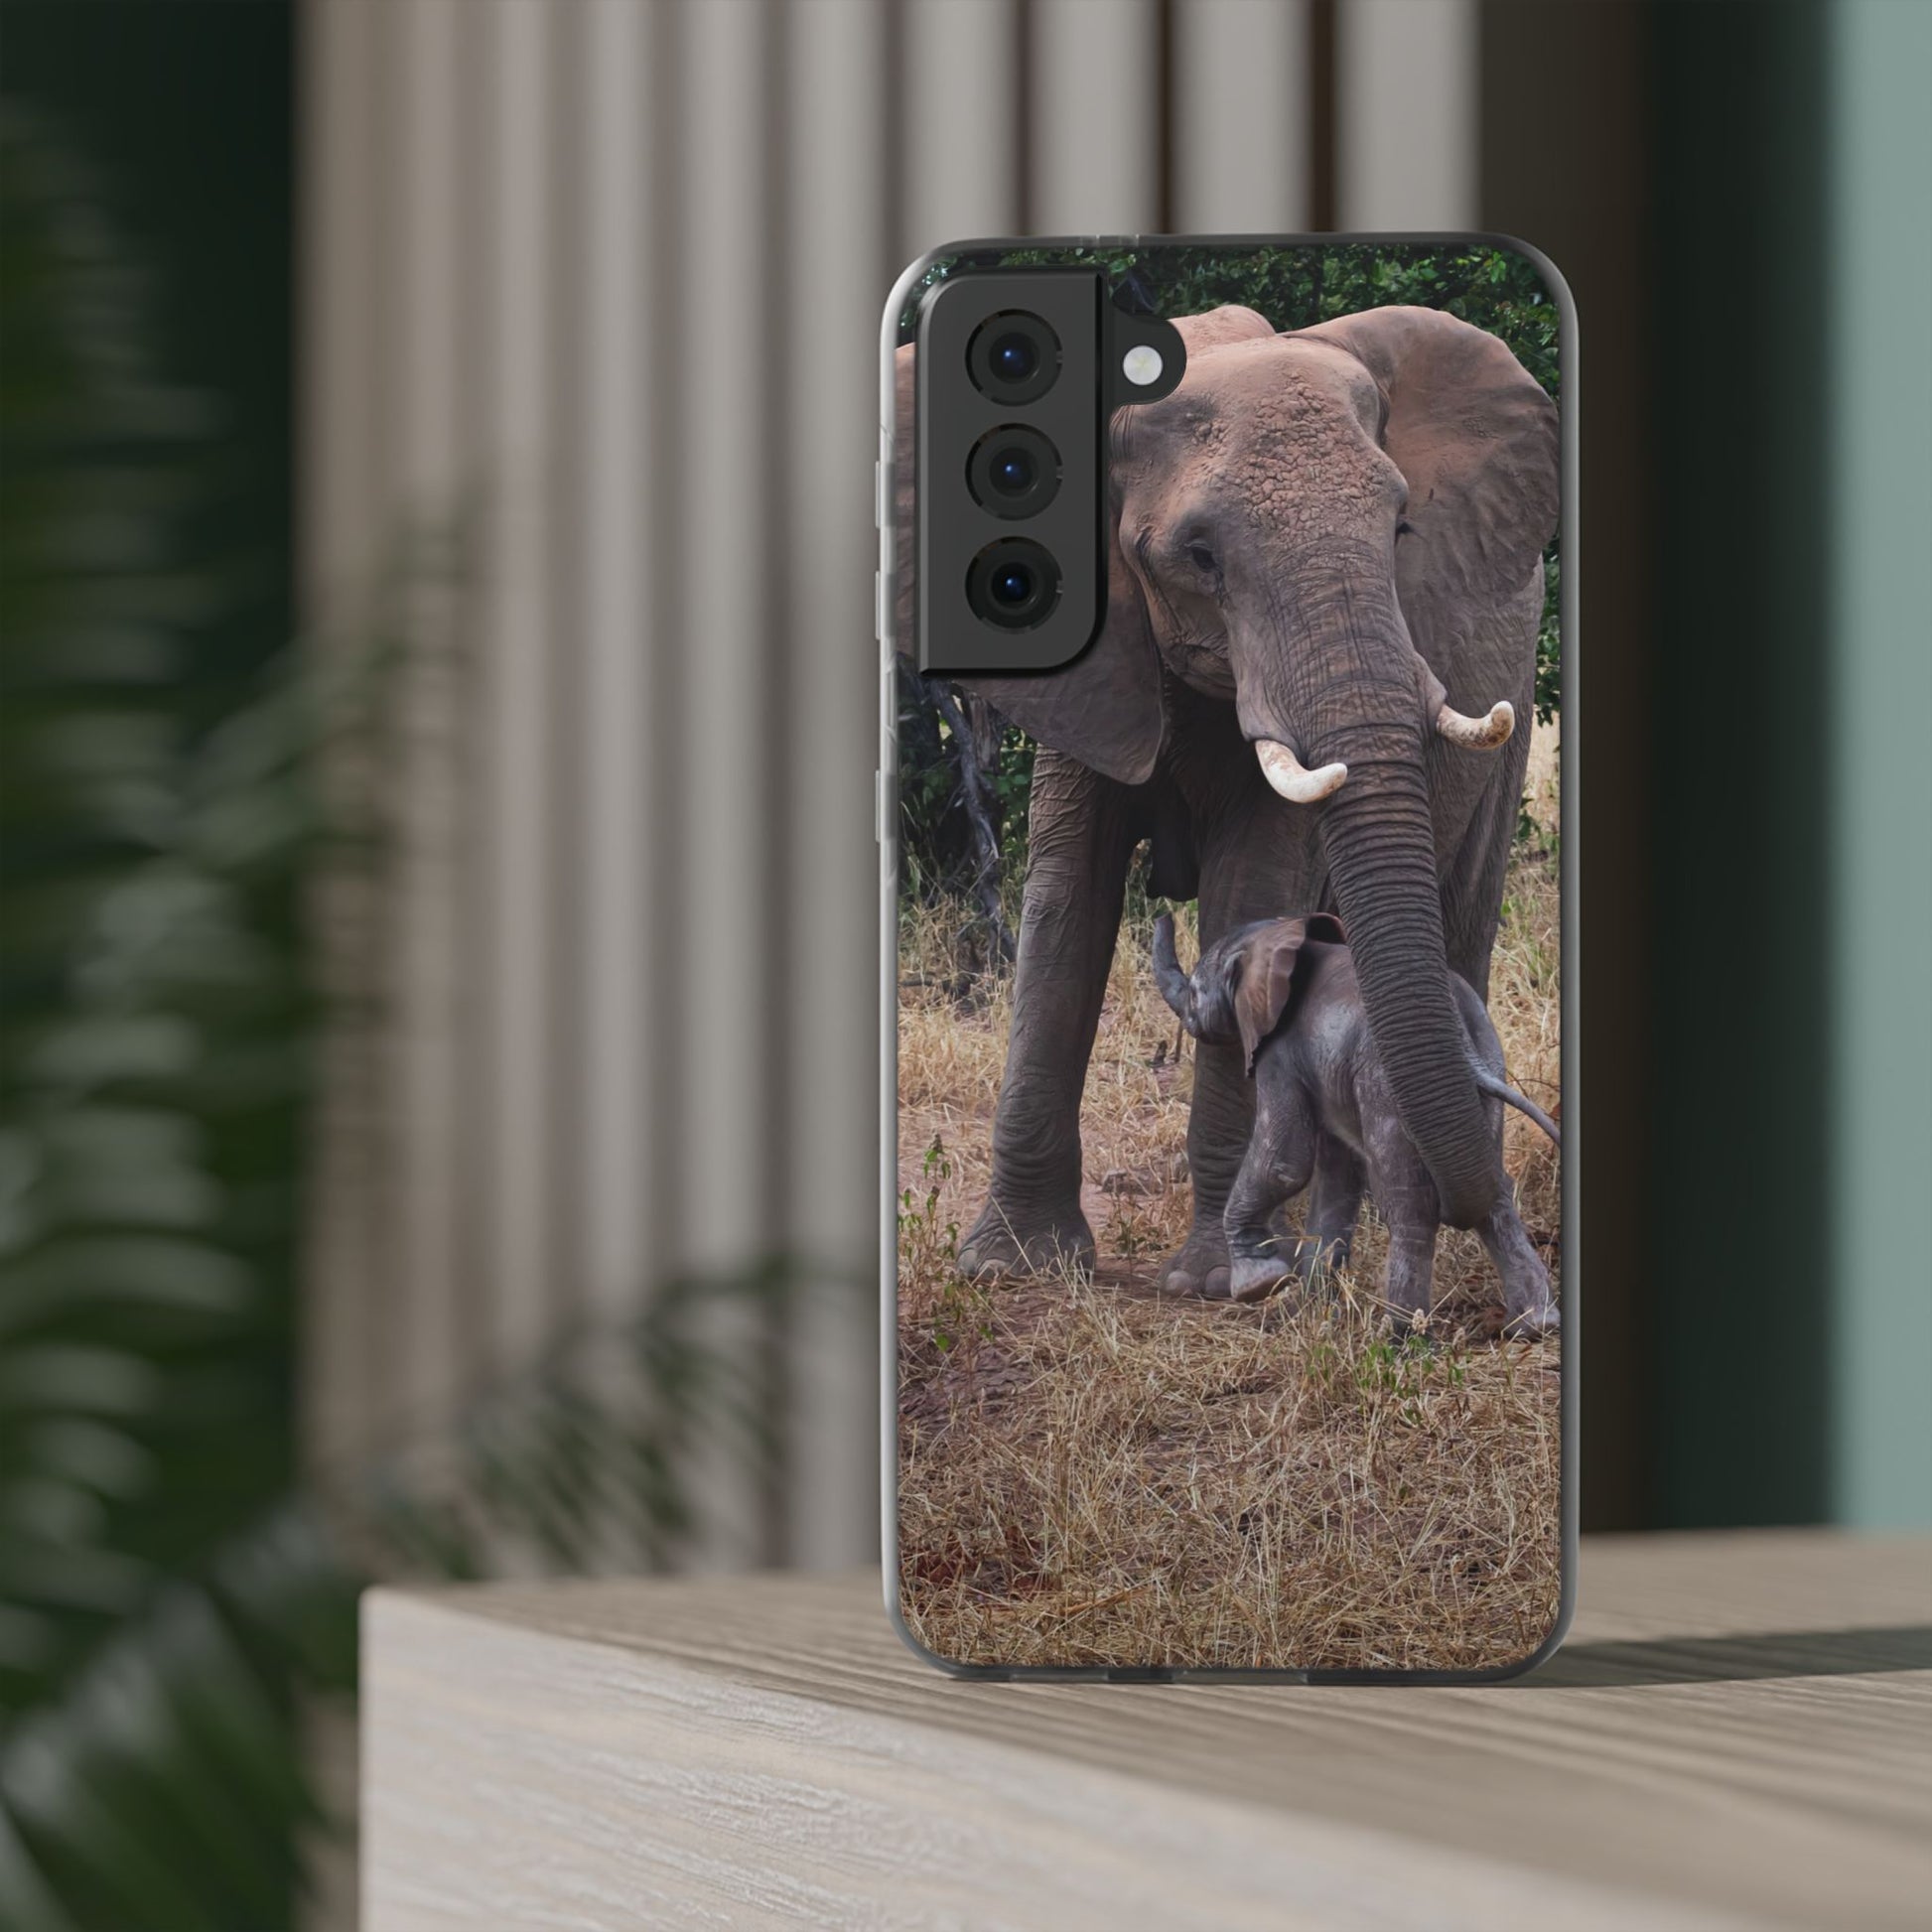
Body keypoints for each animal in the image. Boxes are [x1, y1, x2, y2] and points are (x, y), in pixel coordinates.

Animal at [1150, 911, 1560, 1336]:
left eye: (1195, 992)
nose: (1163, 913)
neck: (1281, 936)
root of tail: (1460, 1033)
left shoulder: (1279, 1052)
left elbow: (1284, 1163)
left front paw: (1259, 1284)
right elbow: (1337, 1174)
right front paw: (1309, 1312)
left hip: (1384, 1084)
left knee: (1409, 1201)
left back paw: (1402, 1334)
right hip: (1489, 1062)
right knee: (1495, 1192)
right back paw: (1535, 1325)